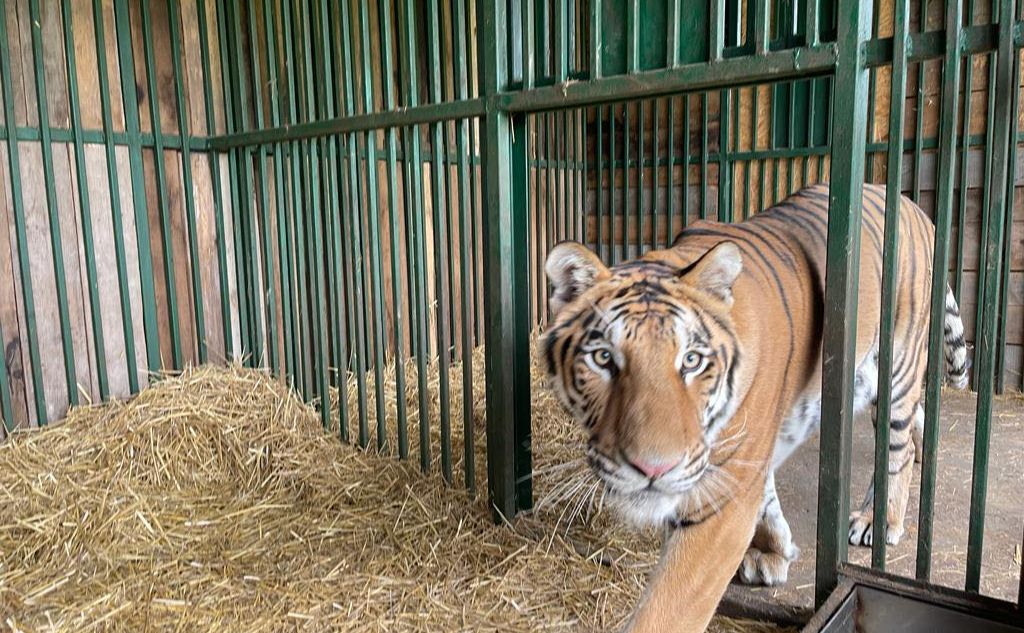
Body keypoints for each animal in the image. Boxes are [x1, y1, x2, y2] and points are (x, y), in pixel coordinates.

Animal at [540, 183, 969, 633]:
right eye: (603, 358)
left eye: (691, 361)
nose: (654, 470)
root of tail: (912, 205)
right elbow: (766, 498)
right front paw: (771, 551)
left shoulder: (720, 498)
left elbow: (667, 611)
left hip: (898, 367)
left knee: (897, 449)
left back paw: (878, 520)